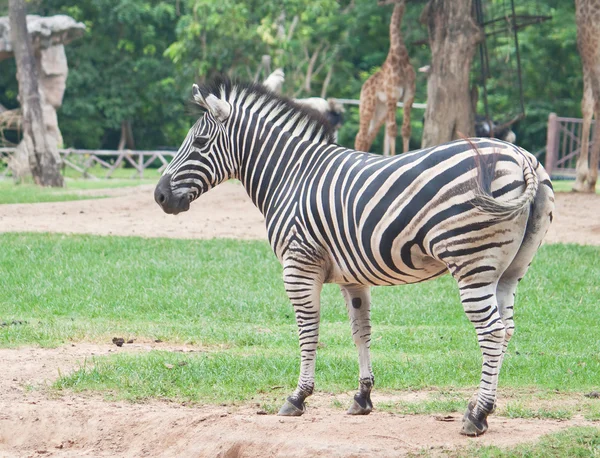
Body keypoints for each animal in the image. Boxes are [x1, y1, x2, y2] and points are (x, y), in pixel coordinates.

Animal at [155, 78, 552, 436]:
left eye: (200, 142)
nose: (159, 196)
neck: (290, 175)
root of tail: (522, 157)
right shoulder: (353, 277)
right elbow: (361, 332)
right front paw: (362, 397)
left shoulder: (298, 266)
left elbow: (308, 332)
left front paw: (298, 397)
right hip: (510, 270)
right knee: (507, 329)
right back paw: (478, 406)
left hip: (471, 263)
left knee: (492, 331)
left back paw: (478, 416)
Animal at [354, 0, 414, 156]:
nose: (380, 2)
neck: (400, 56)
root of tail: (363, 88)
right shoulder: (393, 96)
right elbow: (393, 129)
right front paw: (394, 156)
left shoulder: (409, 96)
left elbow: (406, 129)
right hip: (368, 106)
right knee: (360, 136)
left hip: (380, 111)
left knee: (368, 137)